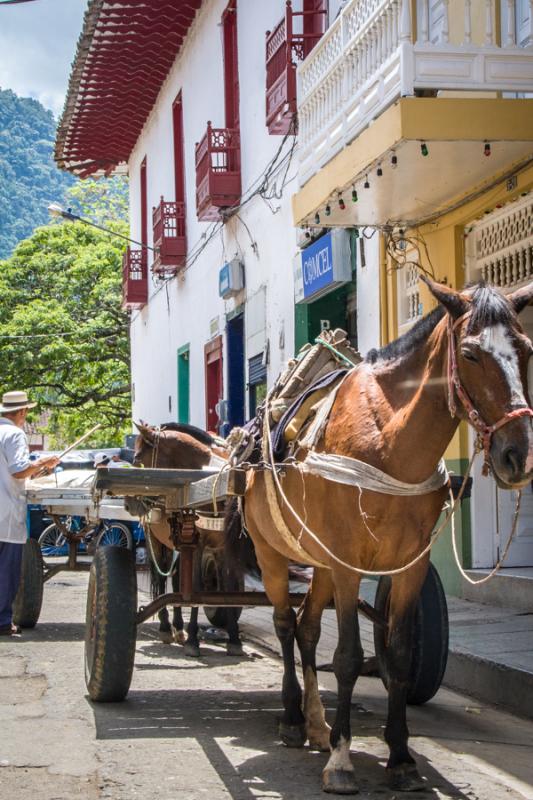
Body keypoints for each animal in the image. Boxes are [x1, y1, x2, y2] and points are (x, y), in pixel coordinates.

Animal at [132, 422, 244, 652]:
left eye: (137, 458)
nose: (130, 502)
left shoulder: (222, 547)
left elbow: (228, 587)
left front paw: (234, 638)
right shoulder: (198, 544)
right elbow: (196, 587)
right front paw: (193, 638)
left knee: (176, 580)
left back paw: (178, 627)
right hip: (156, 541)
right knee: (162, 580)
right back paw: (167, 627)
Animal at [242, 280, 532, 792]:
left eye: (527, 349)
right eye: (471, 354)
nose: (517, 455)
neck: (389, 442)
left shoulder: (411, 565)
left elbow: (398, 655)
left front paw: (400, 756)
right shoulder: (348, 564)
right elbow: (348, 657)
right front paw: (341, 760)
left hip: (319, 562)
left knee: (308, 629)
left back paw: (317, 722)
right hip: (272, 553)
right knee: (284, 624)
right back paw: (294, 718)